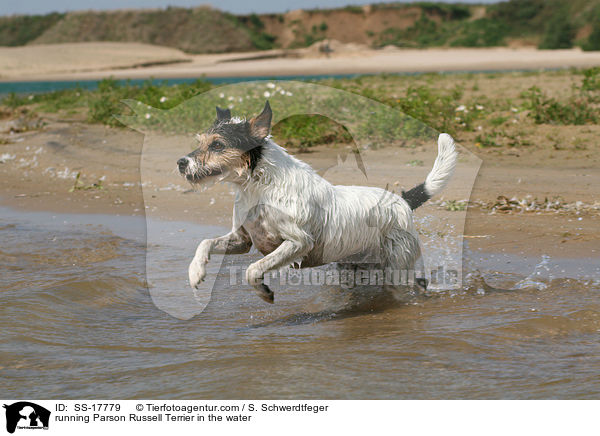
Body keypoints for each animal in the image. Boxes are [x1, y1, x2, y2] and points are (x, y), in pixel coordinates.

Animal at [176, 103, 458, 304]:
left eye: (217, 144)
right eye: (200, 142)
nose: (180, 162)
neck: (259, 186)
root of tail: (401, 200)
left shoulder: (299, 242)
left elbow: (252, 270)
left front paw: (264, 292)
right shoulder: (242, 239)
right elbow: (205, 243)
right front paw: (195, 272)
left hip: (396, 266)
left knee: (414, 285)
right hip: (356, 266)